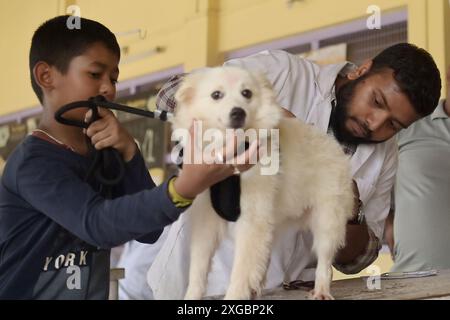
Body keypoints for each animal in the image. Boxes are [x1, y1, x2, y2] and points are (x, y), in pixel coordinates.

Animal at [171, 65, 354, 300]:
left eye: (247, 93)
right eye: (216, 95)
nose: (238, 112)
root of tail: (334, 145)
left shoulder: (252, 219)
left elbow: (240, 270)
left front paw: (235, 296)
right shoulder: (207, 219)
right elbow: (198, 269)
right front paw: (192, 296)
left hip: (327, 219)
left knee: (325, 260)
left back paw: (321, 289)